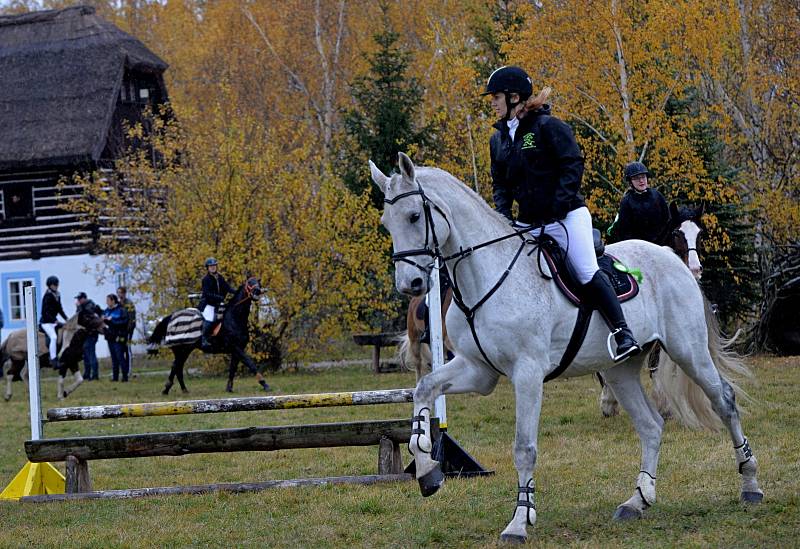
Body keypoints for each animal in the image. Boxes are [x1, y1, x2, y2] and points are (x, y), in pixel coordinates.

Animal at [372, 152, 764, 540]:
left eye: (414, 216)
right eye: (386, 223)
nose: (410, 284)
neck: (486, 274)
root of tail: (670, 256)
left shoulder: (527, 373)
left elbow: (524, 448)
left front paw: (520, 520)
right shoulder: (477, 369)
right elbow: (424, 390)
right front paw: (428, 471)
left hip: (688, 351)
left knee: (724, 401)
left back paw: (750, 484)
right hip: (620, 371)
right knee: (651, 425)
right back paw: (637, 500)